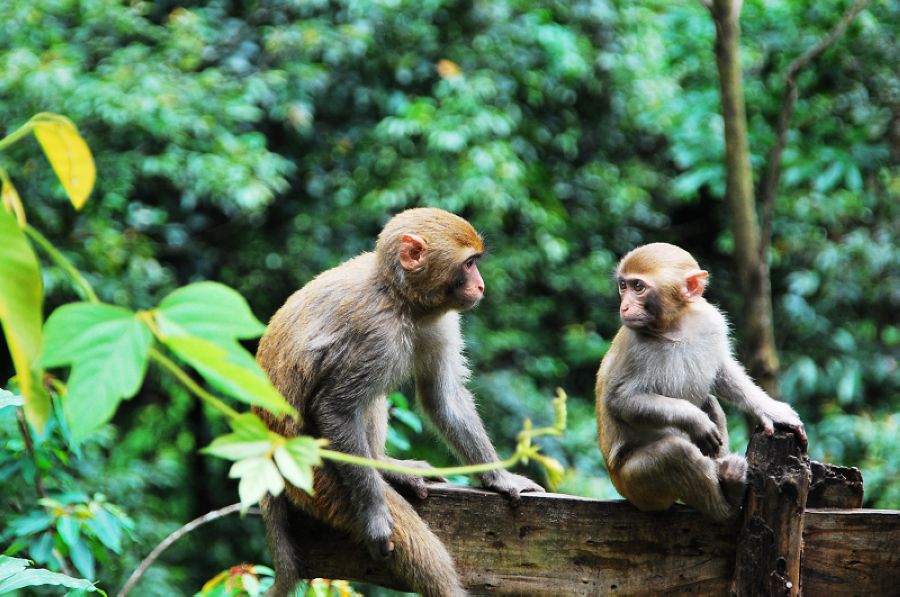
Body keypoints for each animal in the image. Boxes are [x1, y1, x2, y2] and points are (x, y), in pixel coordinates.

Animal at [256, 207, 544, 592]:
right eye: (469, 264)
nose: (481, 285)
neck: (400, 298)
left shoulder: (441, 321)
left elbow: (443, 399)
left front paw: (500, 479)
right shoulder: (377, 333)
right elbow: (335, 408)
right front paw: (376, 517)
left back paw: (385, 466)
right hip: (310, 474)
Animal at [596, 244, 804, 520]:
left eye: (637, 287)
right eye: (623, 286)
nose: (625, 307)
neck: (674, 326)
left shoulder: (711, 320)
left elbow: (722, 371)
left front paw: (770, 409)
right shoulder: (633, 346)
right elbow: (621, 400)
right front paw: (695, 420)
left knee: (709, 402)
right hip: (636, 487)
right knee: (674, 453)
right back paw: (727, 506)